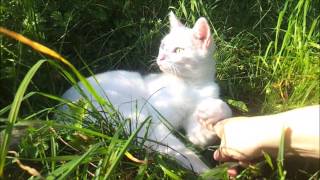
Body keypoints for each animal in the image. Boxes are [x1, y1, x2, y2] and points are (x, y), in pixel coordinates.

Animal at [62, 12, 232, 173]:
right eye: (163, 45)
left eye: (178, 50)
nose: (160, 57)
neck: (191, 85)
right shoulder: (156, 120)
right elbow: (183, 151)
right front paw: (206, 170)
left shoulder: (196, 130)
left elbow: (203, 132)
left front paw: (212, 111)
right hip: (133, 117)